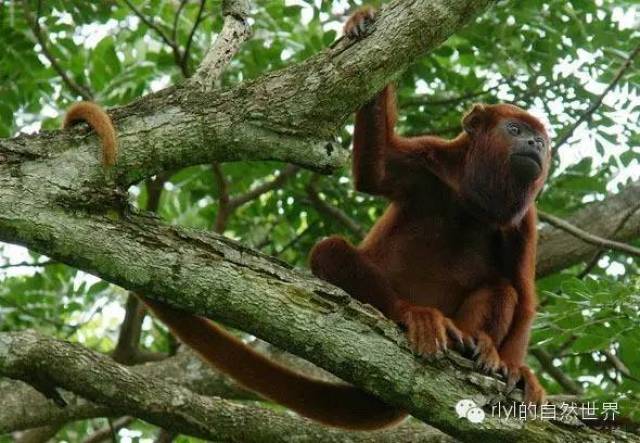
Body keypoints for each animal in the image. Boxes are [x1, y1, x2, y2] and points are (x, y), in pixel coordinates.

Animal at [309, 8, 549, 407]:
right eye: (515, 129)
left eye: (542, 142)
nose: (535, 144)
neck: (471, 196)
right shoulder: (428, 159)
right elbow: (374, 170)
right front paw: (361, 20)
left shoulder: (523, 222)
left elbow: (524, 294)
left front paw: (518, 368)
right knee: (329, 250)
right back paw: (417, 314)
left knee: (503, 288)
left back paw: (474, 342)